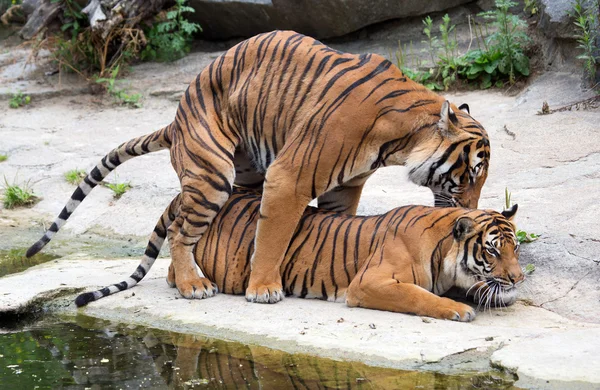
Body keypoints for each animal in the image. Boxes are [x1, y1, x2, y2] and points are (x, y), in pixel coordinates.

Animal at [25, 30, 490, 304]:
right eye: (468, 176)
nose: (468, 209)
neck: (400, 140)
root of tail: (176, 118)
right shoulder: (289, 177)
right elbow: (272, 236)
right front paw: (264, 288)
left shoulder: (345, 186)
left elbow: (334, 227)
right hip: (212, 176)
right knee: (179, 231)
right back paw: (193, 284)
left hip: (244, 175)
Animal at [77, 187, 524, 322]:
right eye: (492, 251)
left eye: (515, 249)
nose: (519, 278)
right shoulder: (369, 283)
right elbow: (420, 295)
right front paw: (458, 309)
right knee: (176, 253)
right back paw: (196, 283)